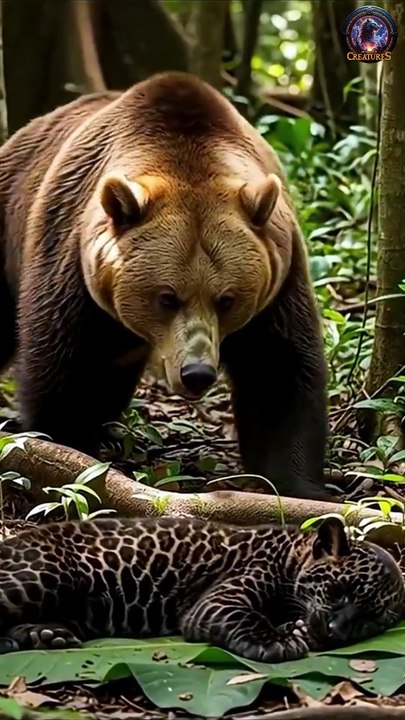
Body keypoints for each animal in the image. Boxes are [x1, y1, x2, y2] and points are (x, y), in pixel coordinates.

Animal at [0, 73, 328, 500]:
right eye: (167, 297)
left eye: (227, 299)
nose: (197, 373)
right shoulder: (70, 262)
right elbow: (61, 367)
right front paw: (65, 449)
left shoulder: (279, 276)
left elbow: (278, 370)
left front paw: (297, 485)